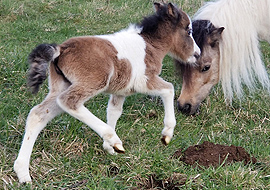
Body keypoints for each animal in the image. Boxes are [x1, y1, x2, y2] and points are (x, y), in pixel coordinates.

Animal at [14, 1, 200, 183]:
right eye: (188, 30)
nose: (197, 54)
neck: (150, 45)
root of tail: (61, 49)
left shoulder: (121, 90)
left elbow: (114, 111)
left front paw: (108, 148)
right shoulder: (143, 81)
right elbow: (169, 89)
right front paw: (167, 134)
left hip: (60, 84)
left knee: (38, 114)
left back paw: (22, 173)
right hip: (93, 81)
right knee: (68, 101)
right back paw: (114, 138)